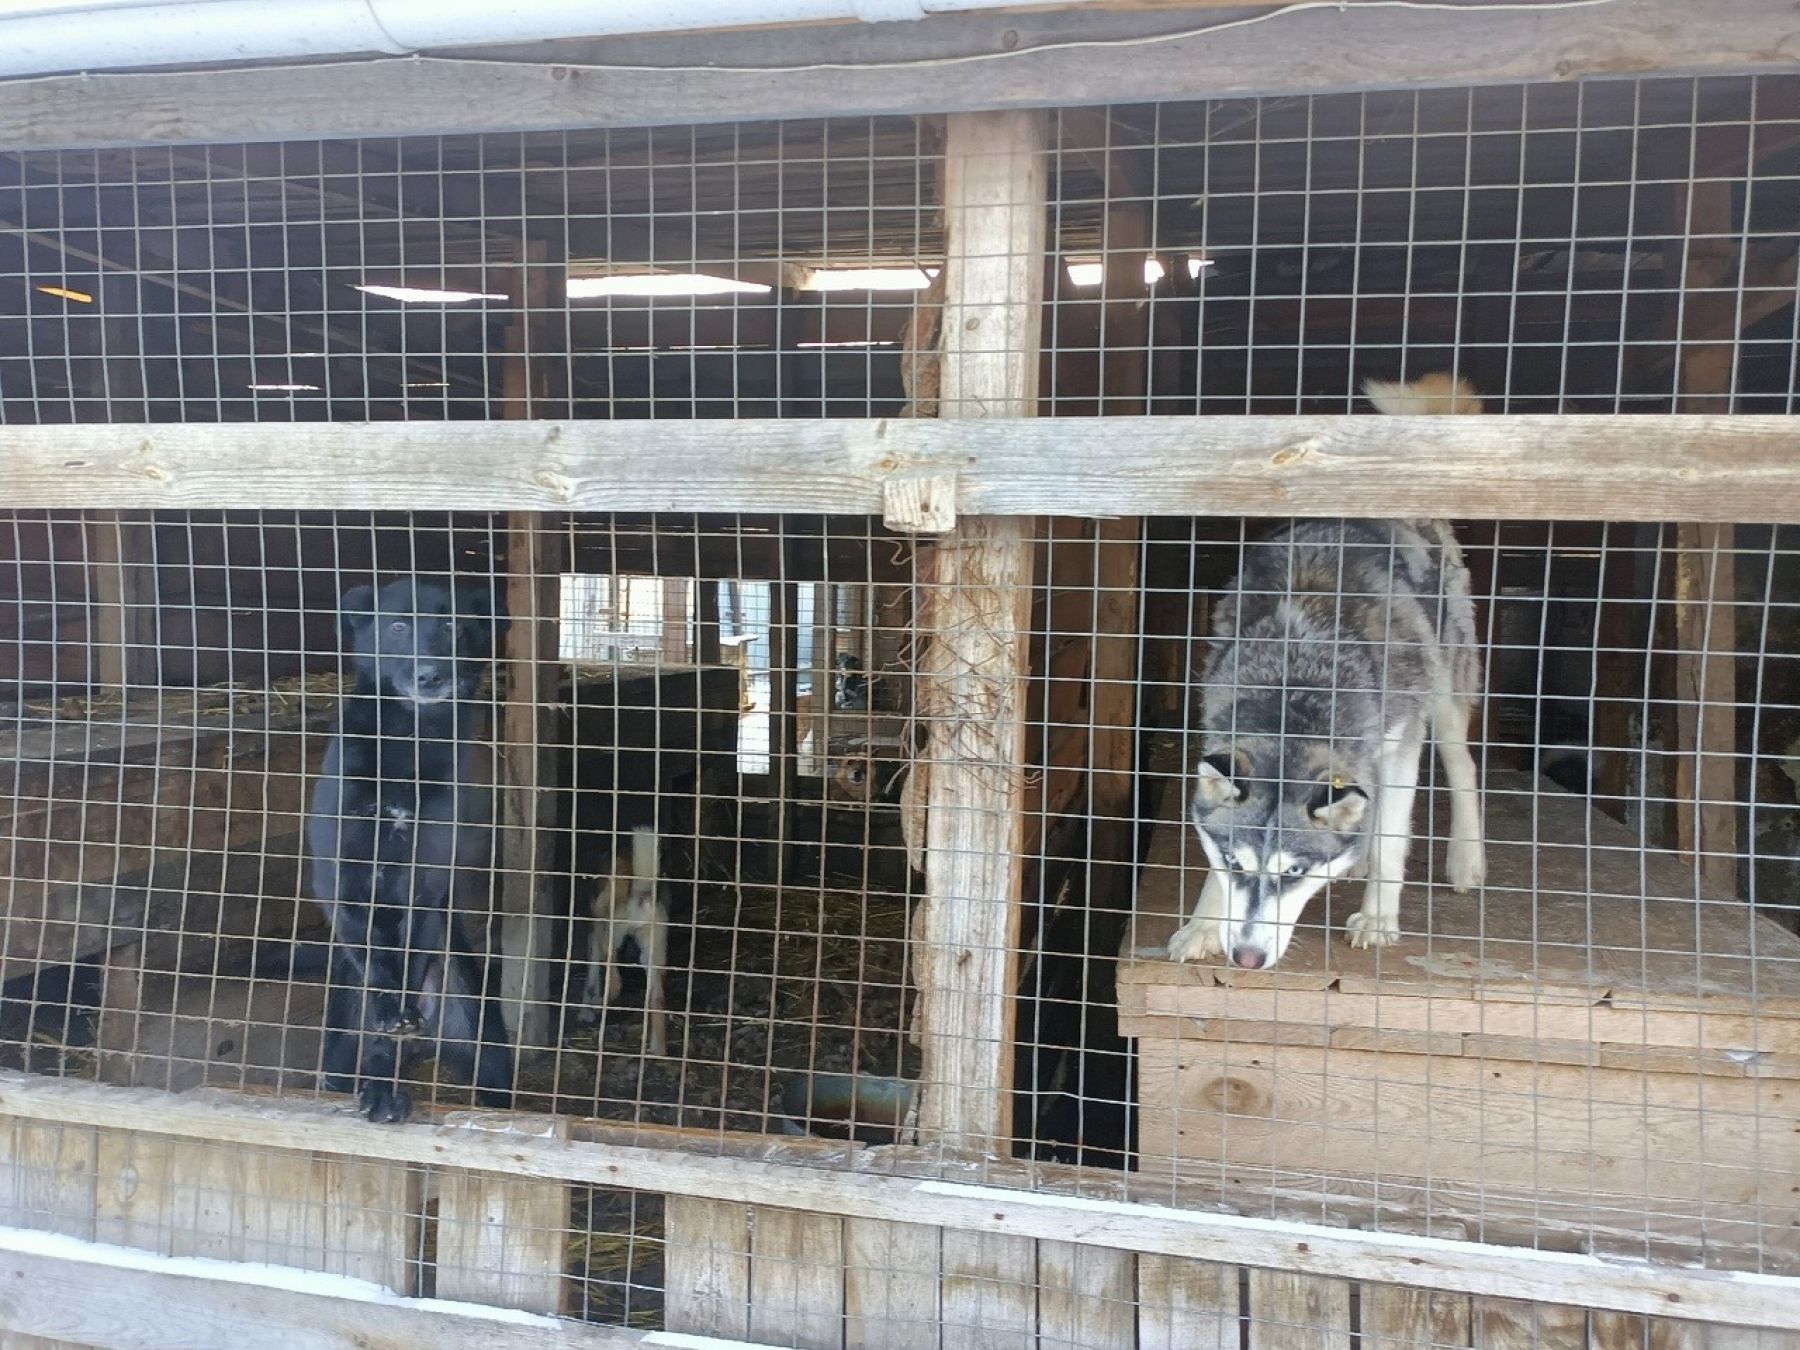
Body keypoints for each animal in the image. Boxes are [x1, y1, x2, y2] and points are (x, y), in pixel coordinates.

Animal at [307, 576, 518, 1123]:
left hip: (486, 1049)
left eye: (455, 626)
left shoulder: (426, 878)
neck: (410, 742)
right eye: (399, 626)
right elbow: (374, 956)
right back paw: (382, 1086)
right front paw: (388, 1008)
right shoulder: (340, 874)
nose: (431, 675)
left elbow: (413, 938)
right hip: (340, 1053)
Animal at [1166, 376, 1490, 972]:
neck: (1297, 678)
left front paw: (1380, 917)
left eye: (1295, 873)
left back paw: (1465, 861)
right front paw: (1204, 924)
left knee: (1463, 766)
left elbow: (1392, 836)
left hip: (1444, 689)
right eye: (1238, 864)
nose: (1246, 958)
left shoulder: (1400, 740)